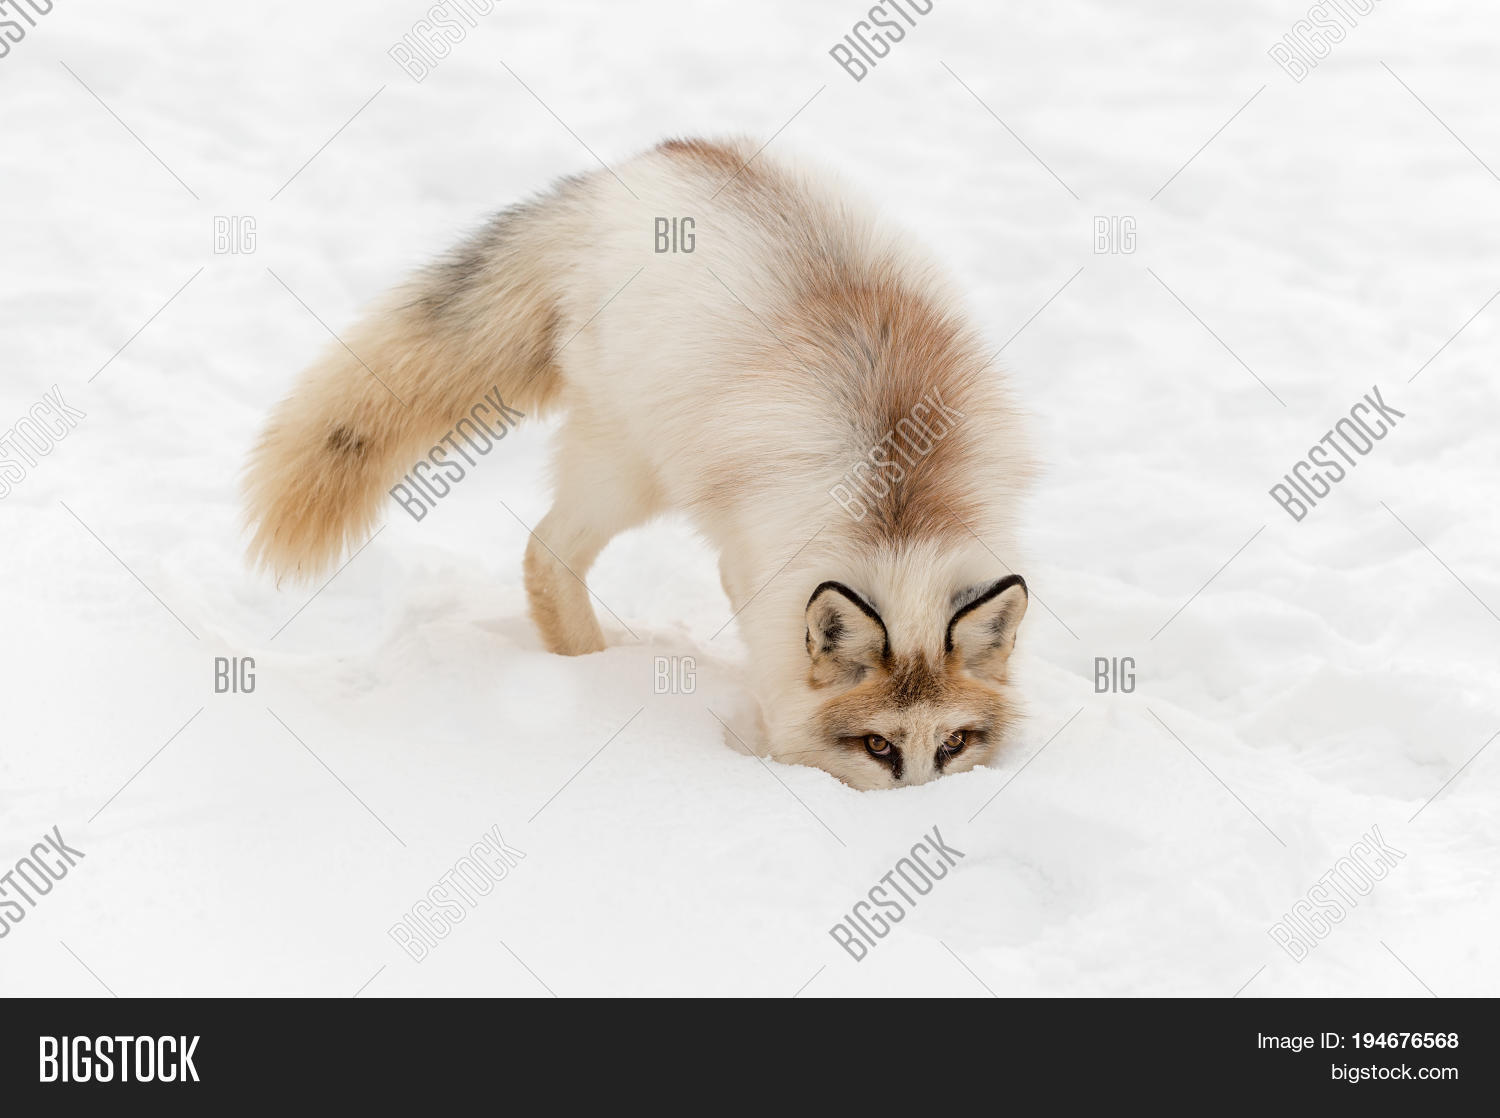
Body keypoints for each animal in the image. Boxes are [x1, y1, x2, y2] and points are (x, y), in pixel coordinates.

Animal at [244, 137, 1035, 790]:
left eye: (955, 743)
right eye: (878, 747)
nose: (917, 817)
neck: (900, 511)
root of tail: (627, 171)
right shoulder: (752, 570)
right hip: (627, 471)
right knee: (545, 552)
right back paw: (590, 674)